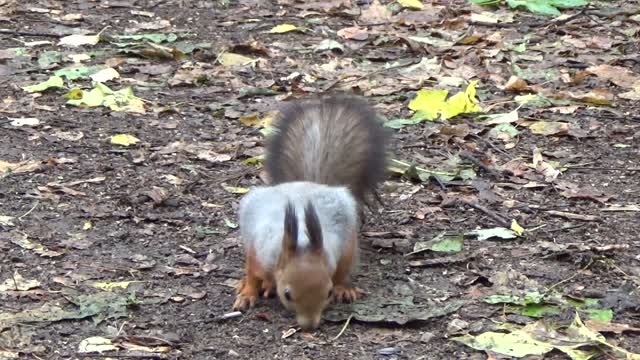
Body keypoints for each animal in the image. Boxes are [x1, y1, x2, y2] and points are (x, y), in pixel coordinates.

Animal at [232, 95, 388, 330]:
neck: (303, 242)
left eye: (328, 292)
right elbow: (252, 273)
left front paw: (343, 288)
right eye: (287, 294)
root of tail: (310, 183)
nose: (310, 324)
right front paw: (248, 293)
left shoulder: (338, 251)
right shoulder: (258, 251)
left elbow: (341, 270)